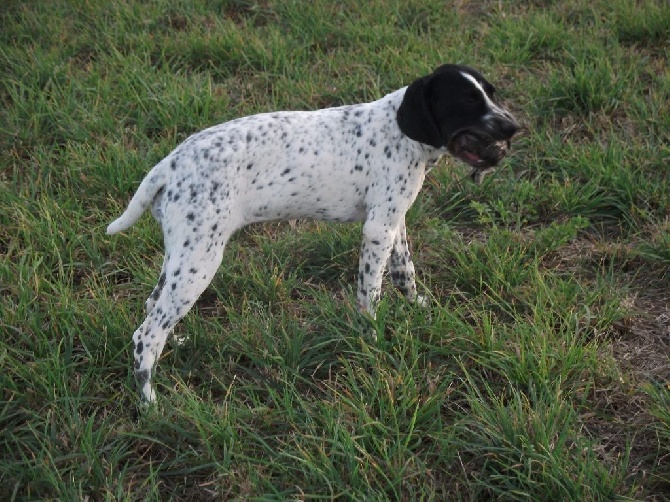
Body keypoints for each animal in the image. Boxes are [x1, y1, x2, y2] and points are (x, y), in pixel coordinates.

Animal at [107, 64, 524, 402]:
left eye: (492, 93)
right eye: (466, 102)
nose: (515, 127)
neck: (401, 133)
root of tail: (169, 164)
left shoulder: (394, 221)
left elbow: (405, 273)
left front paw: (418, 308)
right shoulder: (377, 229)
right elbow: (369, 295)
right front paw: (372, 343)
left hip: (182, 255)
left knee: (153, 308)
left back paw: (175, 343)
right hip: (200, 259)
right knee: (146, 335)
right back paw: (151, 405)